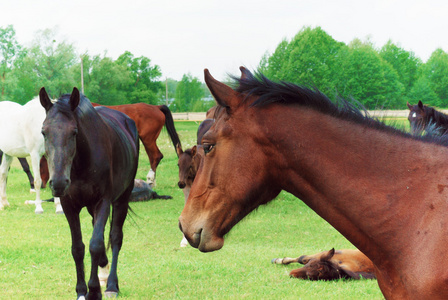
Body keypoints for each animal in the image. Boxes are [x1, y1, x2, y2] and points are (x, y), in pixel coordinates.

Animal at [39, 88, 139, 298]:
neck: (81, 164)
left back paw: (111, 284)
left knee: (115, 237)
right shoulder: (70, 206)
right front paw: (81, 291)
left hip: (122, 199)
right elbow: (78, 248)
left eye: (74, 132)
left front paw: (93, 291)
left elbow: (95, 245)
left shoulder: (103, 202)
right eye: (44, 132)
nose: (58, 183)